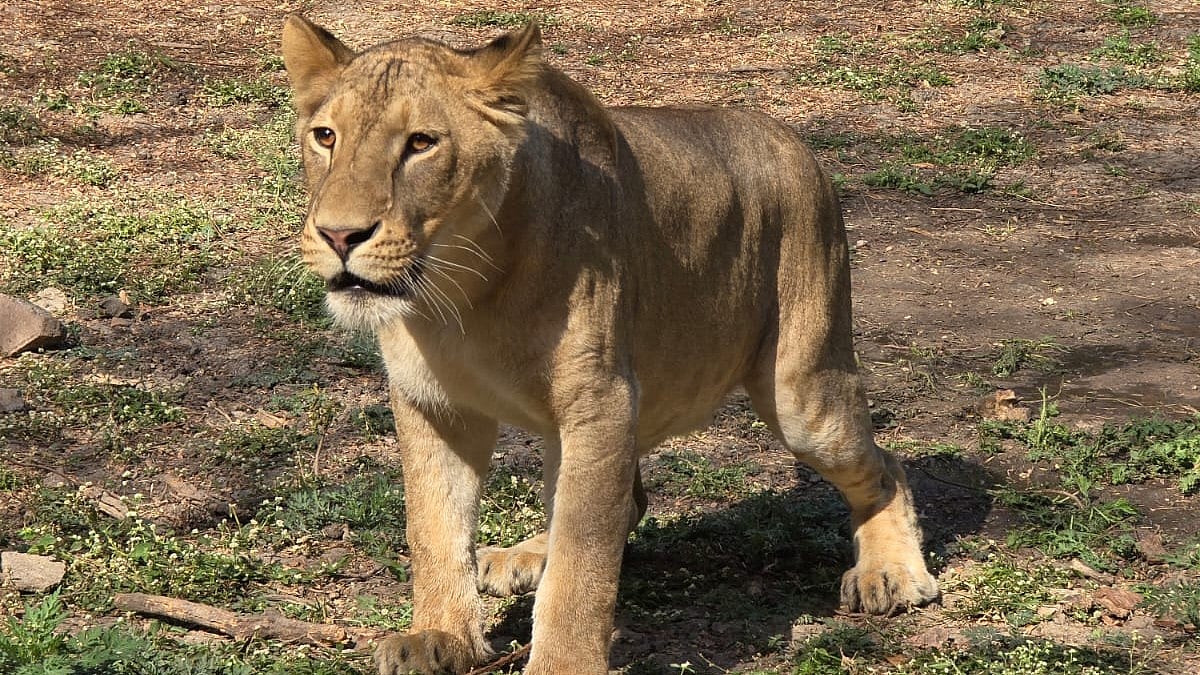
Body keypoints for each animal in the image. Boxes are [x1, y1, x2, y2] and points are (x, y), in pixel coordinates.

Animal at [281, 15, 939, 675]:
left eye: (421, 143)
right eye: (325, 137)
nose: (338, 235)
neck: (464, 292)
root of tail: (790, 137)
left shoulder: (600, 404)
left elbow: (583, 562)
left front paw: (561, 663)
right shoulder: (433, 403)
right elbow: (434, 525)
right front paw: (439, 636)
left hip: (803, 395)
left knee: (885, 465)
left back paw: (889, 572)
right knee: (616, 500)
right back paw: (523, 556)